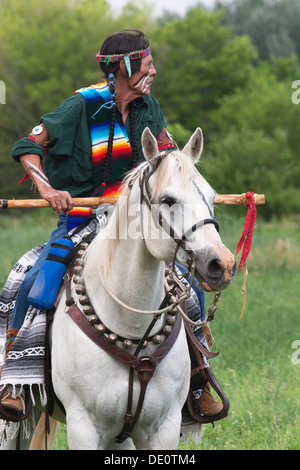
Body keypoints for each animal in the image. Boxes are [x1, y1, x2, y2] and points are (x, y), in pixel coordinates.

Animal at [0, 126, 236, 450]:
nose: (221, 264)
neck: (132, 330)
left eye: (211, 196)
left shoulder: (163, 428)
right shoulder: (83, 428)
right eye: (168, 200)